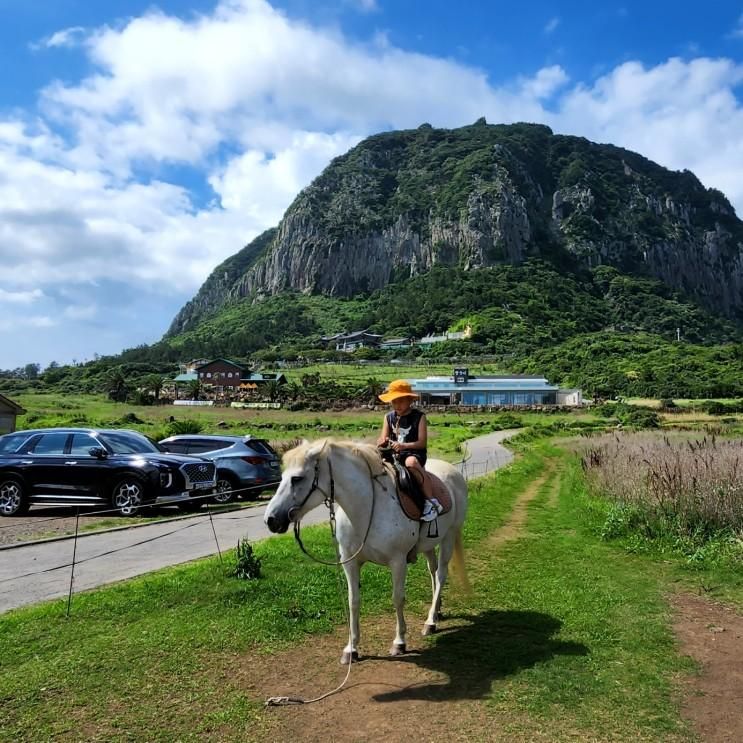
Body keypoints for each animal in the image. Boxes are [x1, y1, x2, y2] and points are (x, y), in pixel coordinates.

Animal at [264, 438, 468, 664]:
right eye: (282, 477)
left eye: (297, 478)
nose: (271, 519)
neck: (368, 507)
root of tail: (452, 471)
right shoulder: (350, 562)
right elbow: (353, 601)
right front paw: (351, 648)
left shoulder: (398, 562)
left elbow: (397, 598)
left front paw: (399, 642)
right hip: (429, 545)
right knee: (433, 571)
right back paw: (437, 610)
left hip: (449, 536)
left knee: (441, 575)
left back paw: (430, 621)